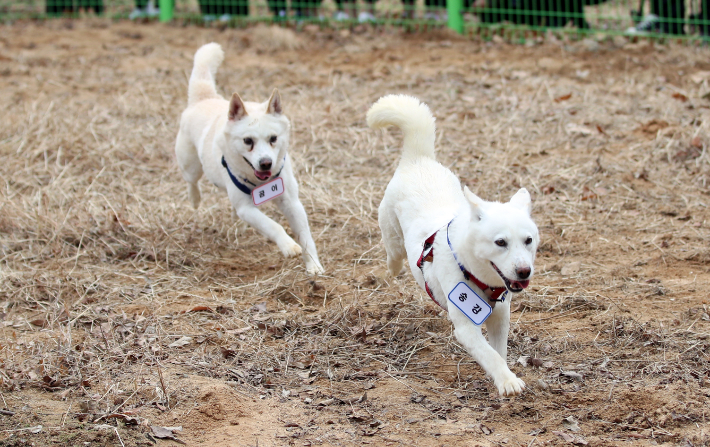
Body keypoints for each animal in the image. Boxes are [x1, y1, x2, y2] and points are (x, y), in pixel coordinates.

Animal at [176, 45, 326, 276]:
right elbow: (273, 225)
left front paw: (313, 266)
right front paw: (288, 246)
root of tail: (205, 98)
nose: (266, 163)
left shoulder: (291, 202)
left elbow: (306, 236)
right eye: (248, 141)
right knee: (191, 181)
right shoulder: (247, 208)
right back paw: (195, 199)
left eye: (273, 138)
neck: (261, 182)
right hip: (190, 165)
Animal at [368, 94, 540, 396]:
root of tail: (418, 159)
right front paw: (508, 381)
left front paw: (503, 376)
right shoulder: (466, 326)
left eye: (528, 240)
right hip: (391, 235)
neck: (478, 276)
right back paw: (393, 268)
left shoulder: (500, 317)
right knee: (393, 253)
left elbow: (498, 352)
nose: (524, 272)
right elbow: (490, 355)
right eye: (500, 242)